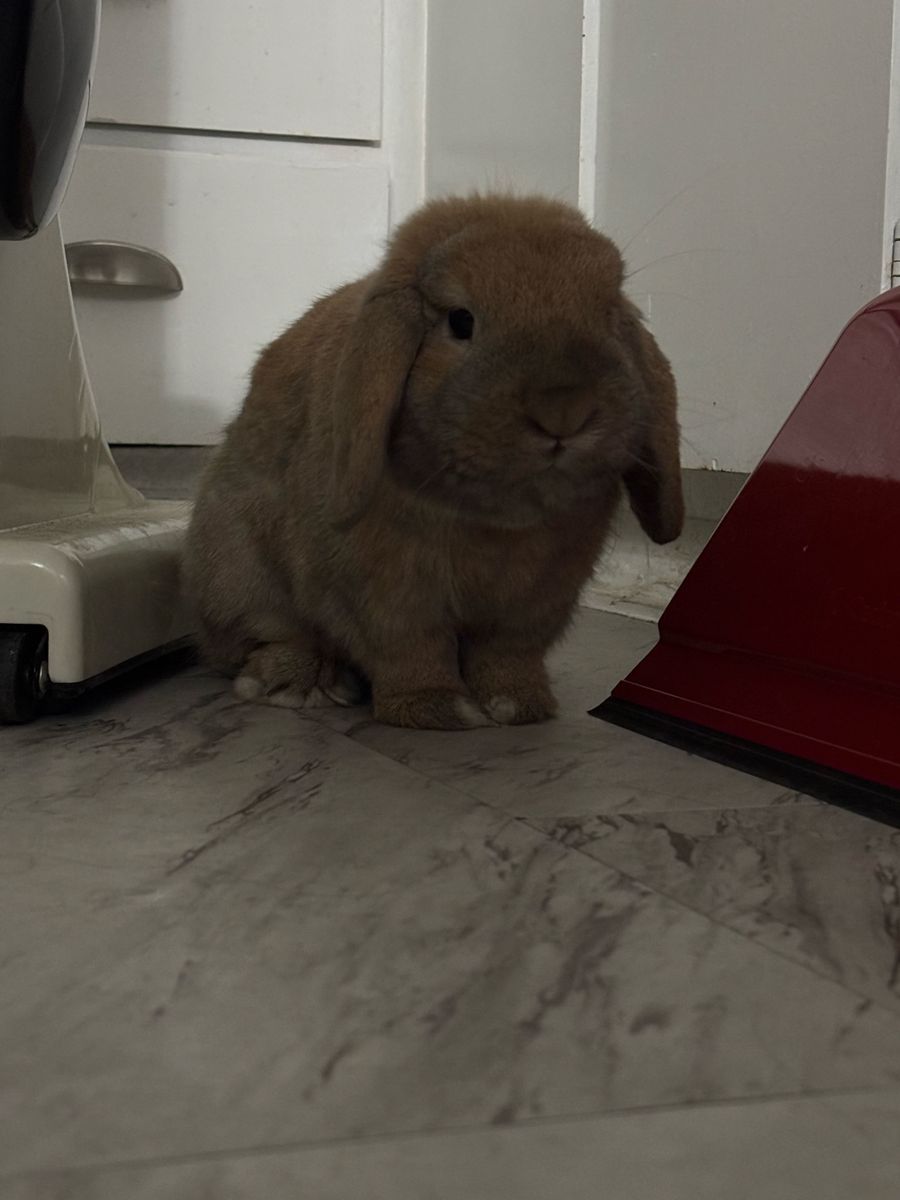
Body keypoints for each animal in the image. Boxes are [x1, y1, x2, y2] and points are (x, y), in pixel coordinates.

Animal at [184, 193, 684, 730]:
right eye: (461, 321)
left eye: (609, 314)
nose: (564, 410)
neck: (497, 520)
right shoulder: (385, 596)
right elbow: (410, 650)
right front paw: (438, 710)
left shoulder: (537, 603)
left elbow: (507, 654)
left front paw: (519, 707)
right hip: (238, 569)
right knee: (269, 636)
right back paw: (297, 684)